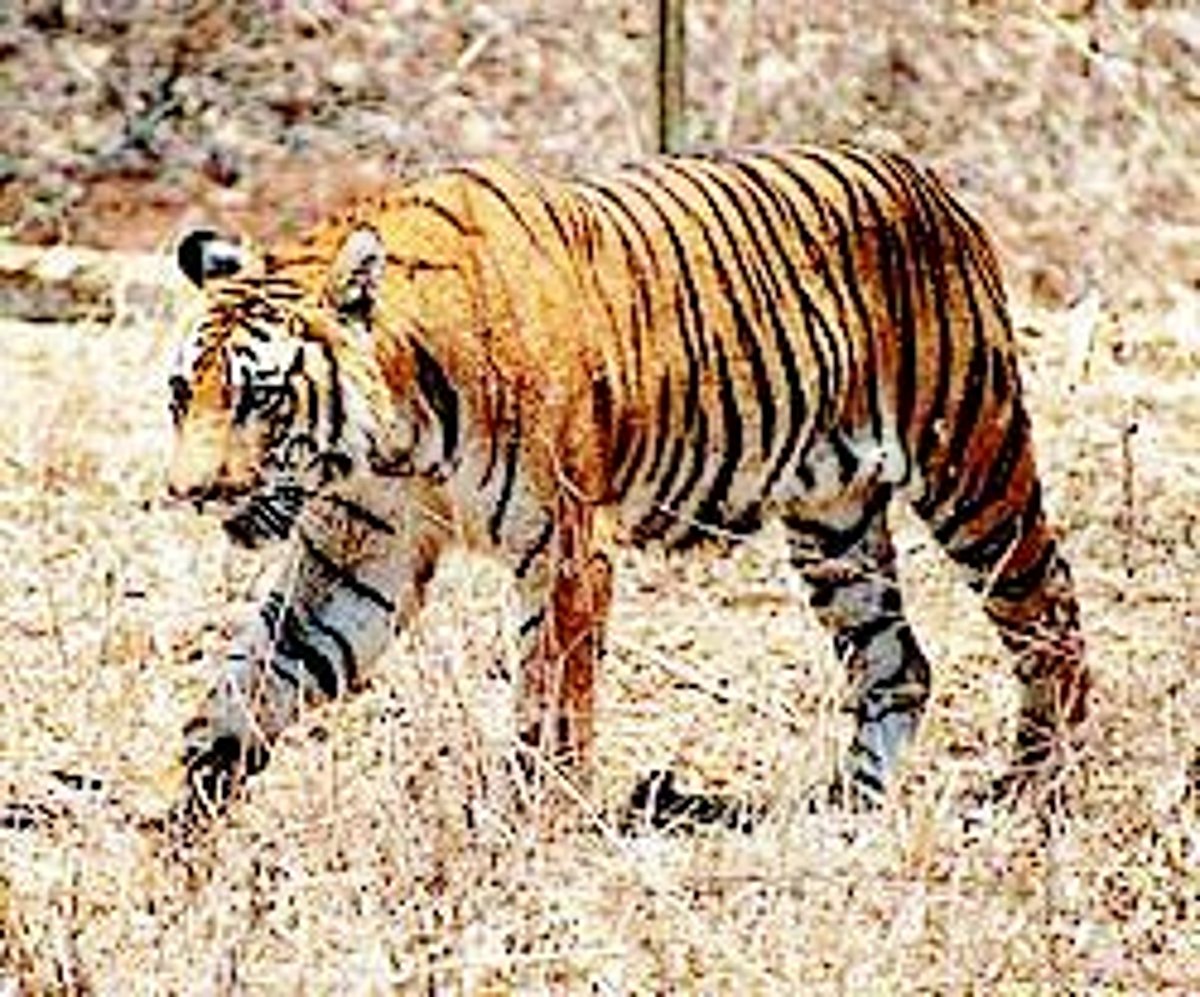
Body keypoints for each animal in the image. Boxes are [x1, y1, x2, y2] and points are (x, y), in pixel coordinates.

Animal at [164, 145, 1088, 824]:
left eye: (259, 395)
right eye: (182, 392)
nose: (188, 494)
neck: (389, 440)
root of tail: (928, 181)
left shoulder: (565, 547)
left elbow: (552, 700)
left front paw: (535, 828)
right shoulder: (359, 557)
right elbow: (254, 676)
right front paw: (185, 828)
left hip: (973, 465)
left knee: (1046, 608)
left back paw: (1043, 787)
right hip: (835, 523)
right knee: (898, 661)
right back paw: (847, 808)